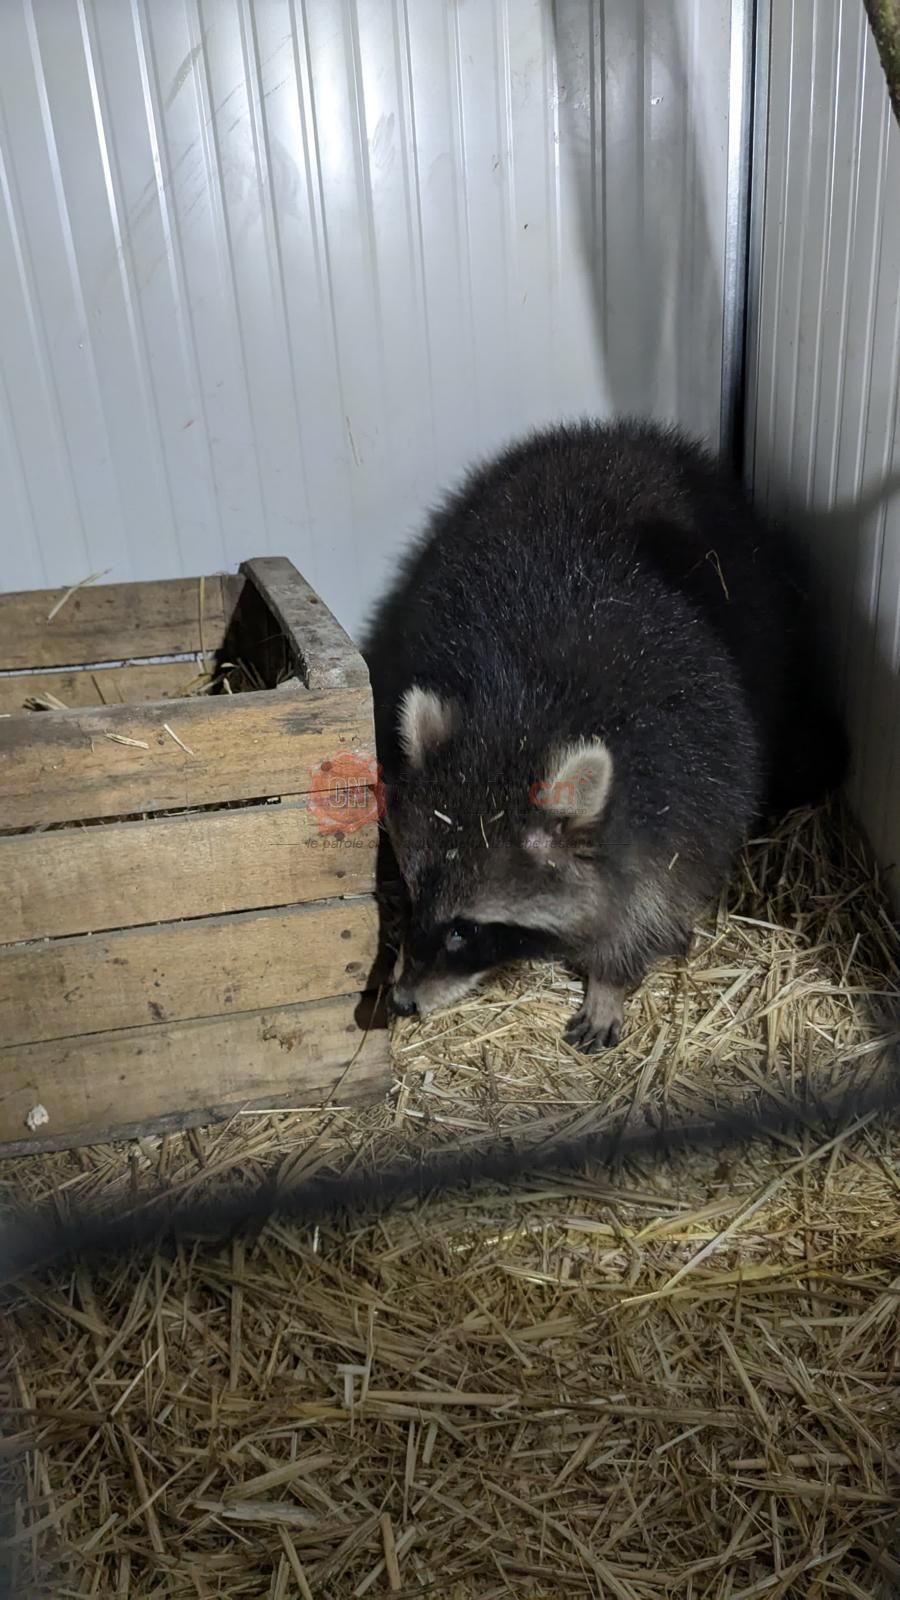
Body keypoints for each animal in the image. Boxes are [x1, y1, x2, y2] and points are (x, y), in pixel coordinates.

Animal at [363, 420, 847, 1052]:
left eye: (465, 929)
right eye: (413, 894)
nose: (401, 1000)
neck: (521, 713)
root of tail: (626, 436)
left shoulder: (684, 786)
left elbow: (655, 892)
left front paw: (611, 976)